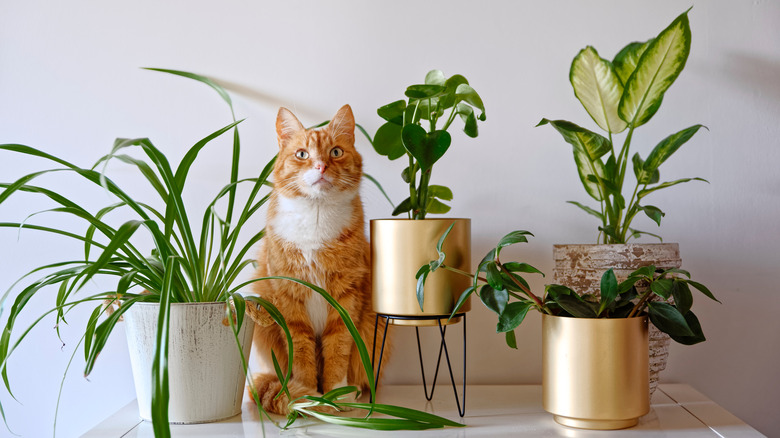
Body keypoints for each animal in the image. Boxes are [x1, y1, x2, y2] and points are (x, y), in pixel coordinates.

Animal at [251, 105, 382, 414]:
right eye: (302, 154)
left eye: (335, 152)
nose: (321, 166)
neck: (316, 216)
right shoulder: (289, 295)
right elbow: (300, 351)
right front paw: (306, 396)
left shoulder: (347, 295)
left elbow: (338, 346)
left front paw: (337, 395)